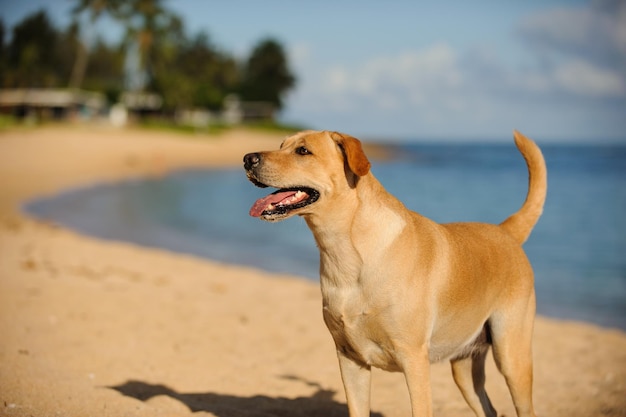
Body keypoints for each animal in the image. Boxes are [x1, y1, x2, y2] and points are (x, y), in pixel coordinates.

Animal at [241, 130, 544, 416]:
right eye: (281, 145)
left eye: (303, 151)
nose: (247, 158)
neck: (348, 253)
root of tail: (505, 231)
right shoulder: (350, 359)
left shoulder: (414, 359)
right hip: (465, 368)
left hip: (512, 355)